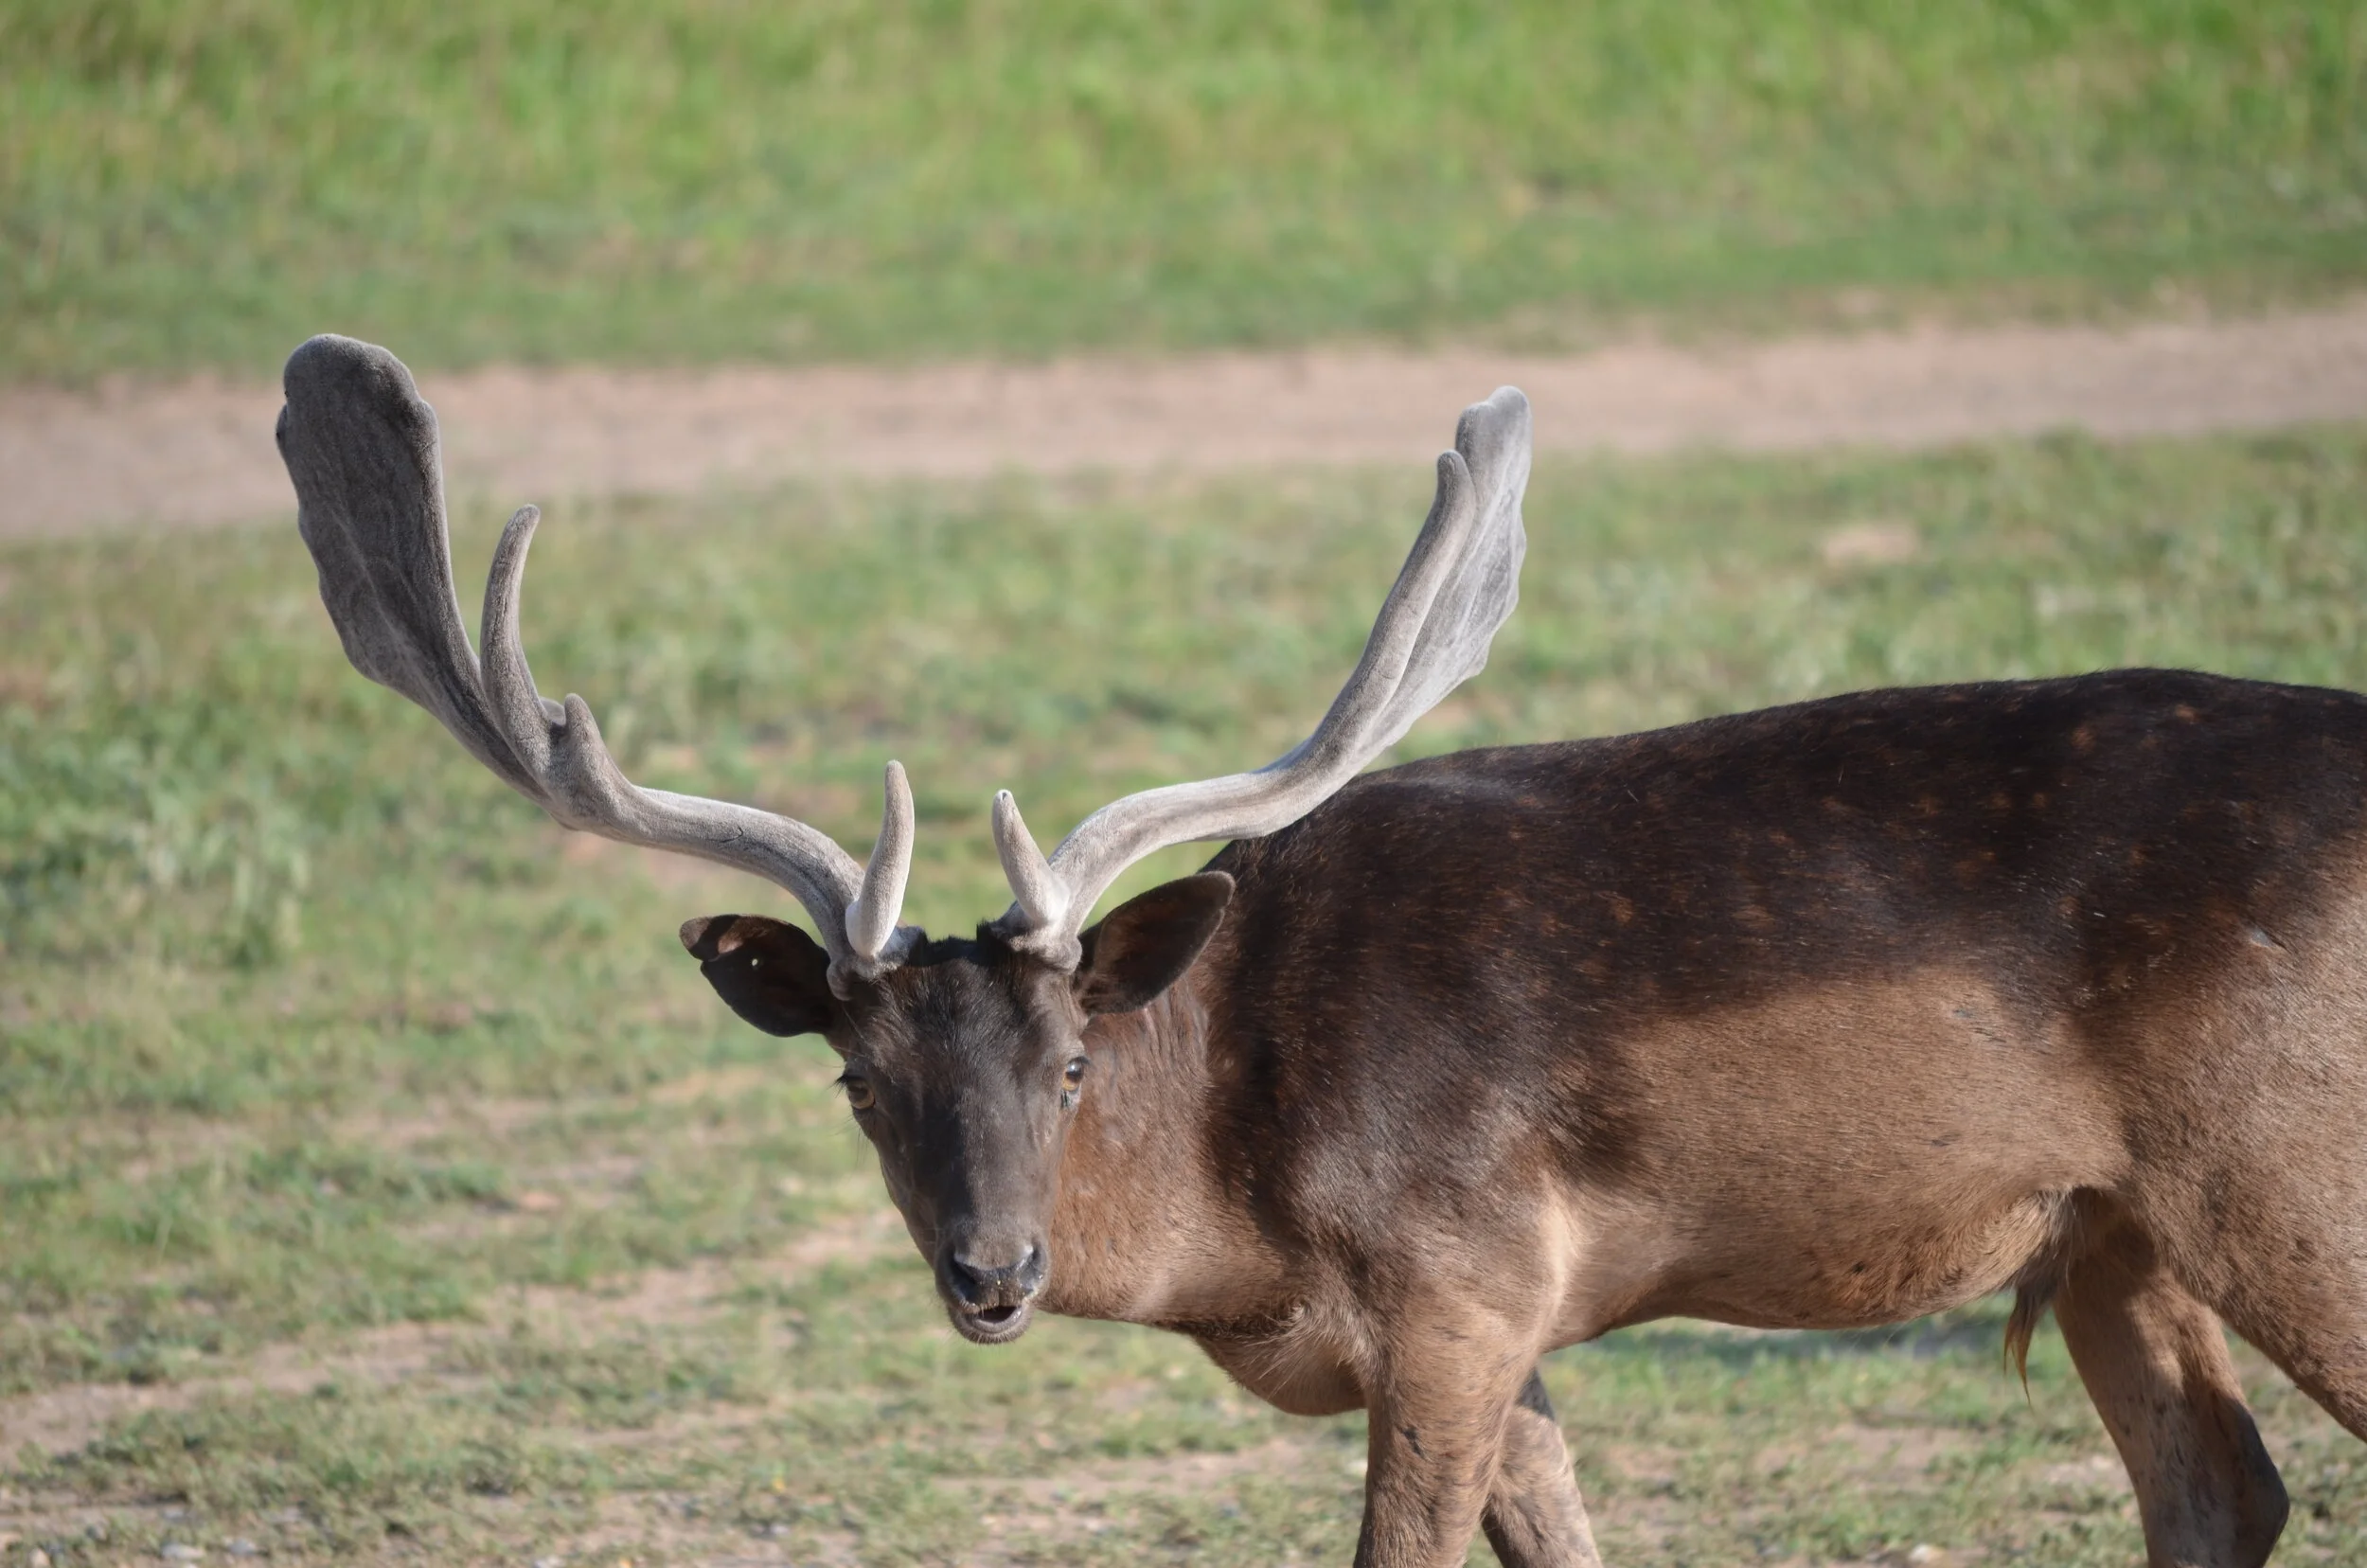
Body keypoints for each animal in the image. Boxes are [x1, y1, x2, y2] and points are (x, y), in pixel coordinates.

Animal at [277, 331, 2367, 1568]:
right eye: (859, 1083)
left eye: (1070, 1060)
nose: (992, 1270)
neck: (1244, 1224)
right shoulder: (1499, 1333)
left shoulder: (1457, 1282)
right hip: (2112, 1227)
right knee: (2222, 1490)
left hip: (2278, 1171)